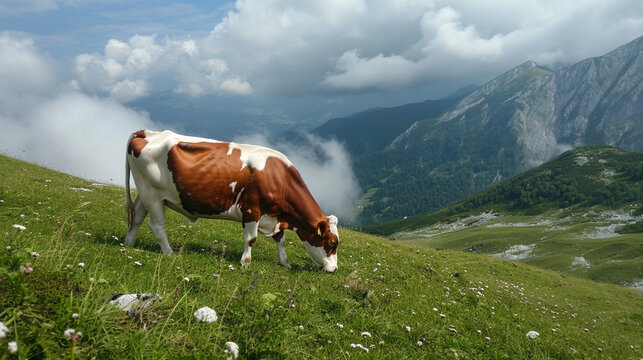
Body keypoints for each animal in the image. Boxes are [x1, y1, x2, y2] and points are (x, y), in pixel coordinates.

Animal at [123, 129, 340, 272]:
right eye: (331, 242)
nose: (334, 269)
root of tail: (146, 132)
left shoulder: (274, 215)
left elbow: (281, 239)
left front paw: (285, 262)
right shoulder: (252, 209)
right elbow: (251, 239)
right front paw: (245, 262)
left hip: (146, 192)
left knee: (137, 217)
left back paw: (129, 243)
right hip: (153, 195)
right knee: (156, 225)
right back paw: (169, 253)